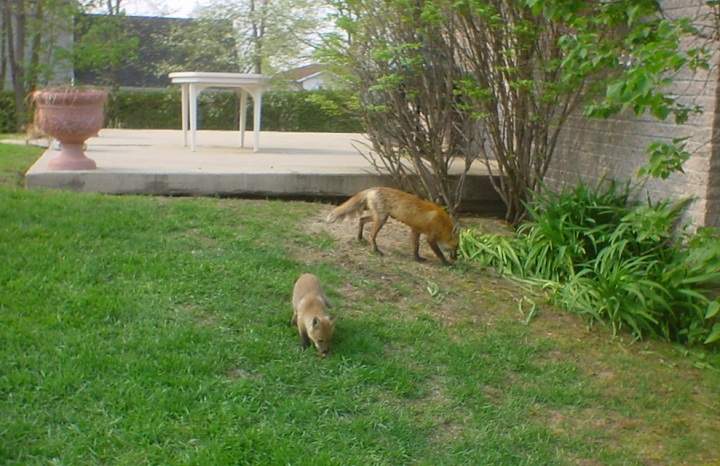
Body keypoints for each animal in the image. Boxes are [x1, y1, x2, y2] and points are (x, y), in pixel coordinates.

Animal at [326, 187, 459, 265]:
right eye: (456, 247)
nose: (456, 258)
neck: (441, 224)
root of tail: (373, 188)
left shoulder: (415, 230)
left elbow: (416, 246)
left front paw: (417, 258)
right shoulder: (430, 238)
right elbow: (439, 253)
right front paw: (446, 263)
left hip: (379, 217)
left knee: (361, 219)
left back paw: (359, 238)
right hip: (381, 219)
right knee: (371, 235)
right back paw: (375, 250)